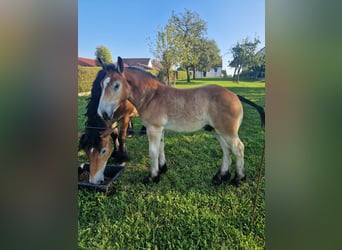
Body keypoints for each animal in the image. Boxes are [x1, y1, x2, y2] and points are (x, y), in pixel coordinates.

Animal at [97, 56, 266, 186]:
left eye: (116, 85)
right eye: (102, 84)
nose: (102, 113)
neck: (152, 96)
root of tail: (235, 95)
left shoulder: (153, 129)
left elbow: (153, 152)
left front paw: (152, 177)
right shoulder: (160, 130)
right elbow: (161, 148)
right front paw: (162, 169)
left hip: (228, 132)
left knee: (238, 149)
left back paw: (238, 179)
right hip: (218, 131)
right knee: (226, 150)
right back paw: (220, 177)